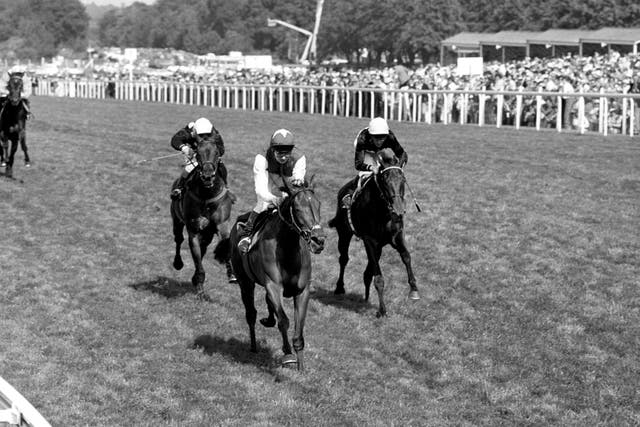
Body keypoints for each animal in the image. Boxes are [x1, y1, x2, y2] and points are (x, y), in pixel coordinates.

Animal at [171, 135, 236, 300]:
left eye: (216, 152)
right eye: (198, 153)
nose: (207, 176)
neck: (207, 194)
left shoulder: (222, 225)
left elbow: (224, 243)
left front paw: (232, 274)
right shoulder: (194, 230)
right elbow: (198, 260)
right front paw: (200, 288)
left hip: (208, 234)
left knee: (204, 246)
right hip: (176, 221)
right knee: (179, 240)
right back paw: (178, 263)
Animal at [215, 177, 324, 372]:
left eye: (318, 205)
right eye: (297, 209)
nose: (319, 240)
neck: (288, 249)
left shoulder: (302, 291)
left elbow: (299, 329)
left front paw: (301, 366)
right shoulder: (273, 285)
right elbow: (284, 321)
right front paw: (288, 355)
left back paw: (268, 320)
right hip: (245, 282)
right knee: (251, 313)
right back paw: (253, 345)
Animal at [330, 147, 420, 318]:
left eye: (403, 179)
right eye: (384, 180)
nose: (399, 210)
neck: (383, 212)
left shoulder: (396, 236)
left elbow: (406, 256)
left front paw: (414, 290)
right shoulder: (370, 241)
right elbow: (378, 277)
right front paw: (382, 309)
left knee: (367, 271)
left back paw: (365, 297)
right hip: (344, 233)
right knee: (343, 259)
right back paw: (339, 287)